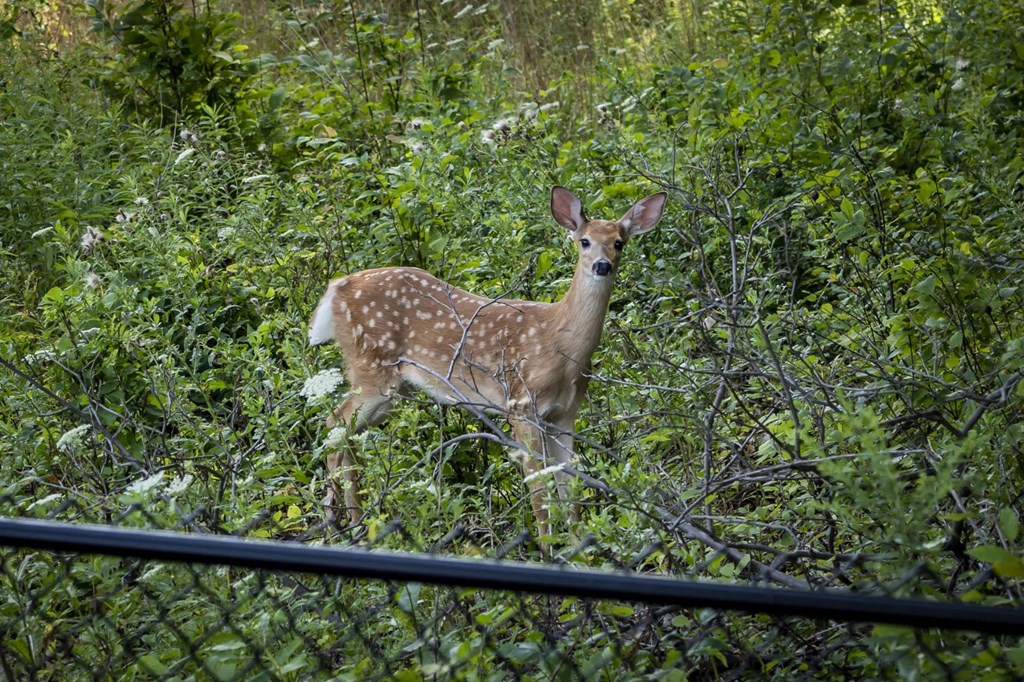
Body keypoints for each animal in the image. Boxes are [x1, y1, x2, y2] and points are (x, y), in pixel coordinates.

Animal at [308, 186, 666, 538]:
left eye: (619, 242)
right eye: (585, 241)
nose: (602, 266)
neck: (560, 345)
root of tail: (336, 288)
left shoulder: (564, 413)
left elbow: (570, 487)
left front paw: (581, 545)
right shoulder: (521, 405)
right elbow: (540, 492)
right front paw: (549, 547)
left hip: (394, 388)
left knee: (347, 434)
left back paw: (355, 522)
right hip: (372, 368)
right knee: (334, 423)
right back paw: (342, 523)